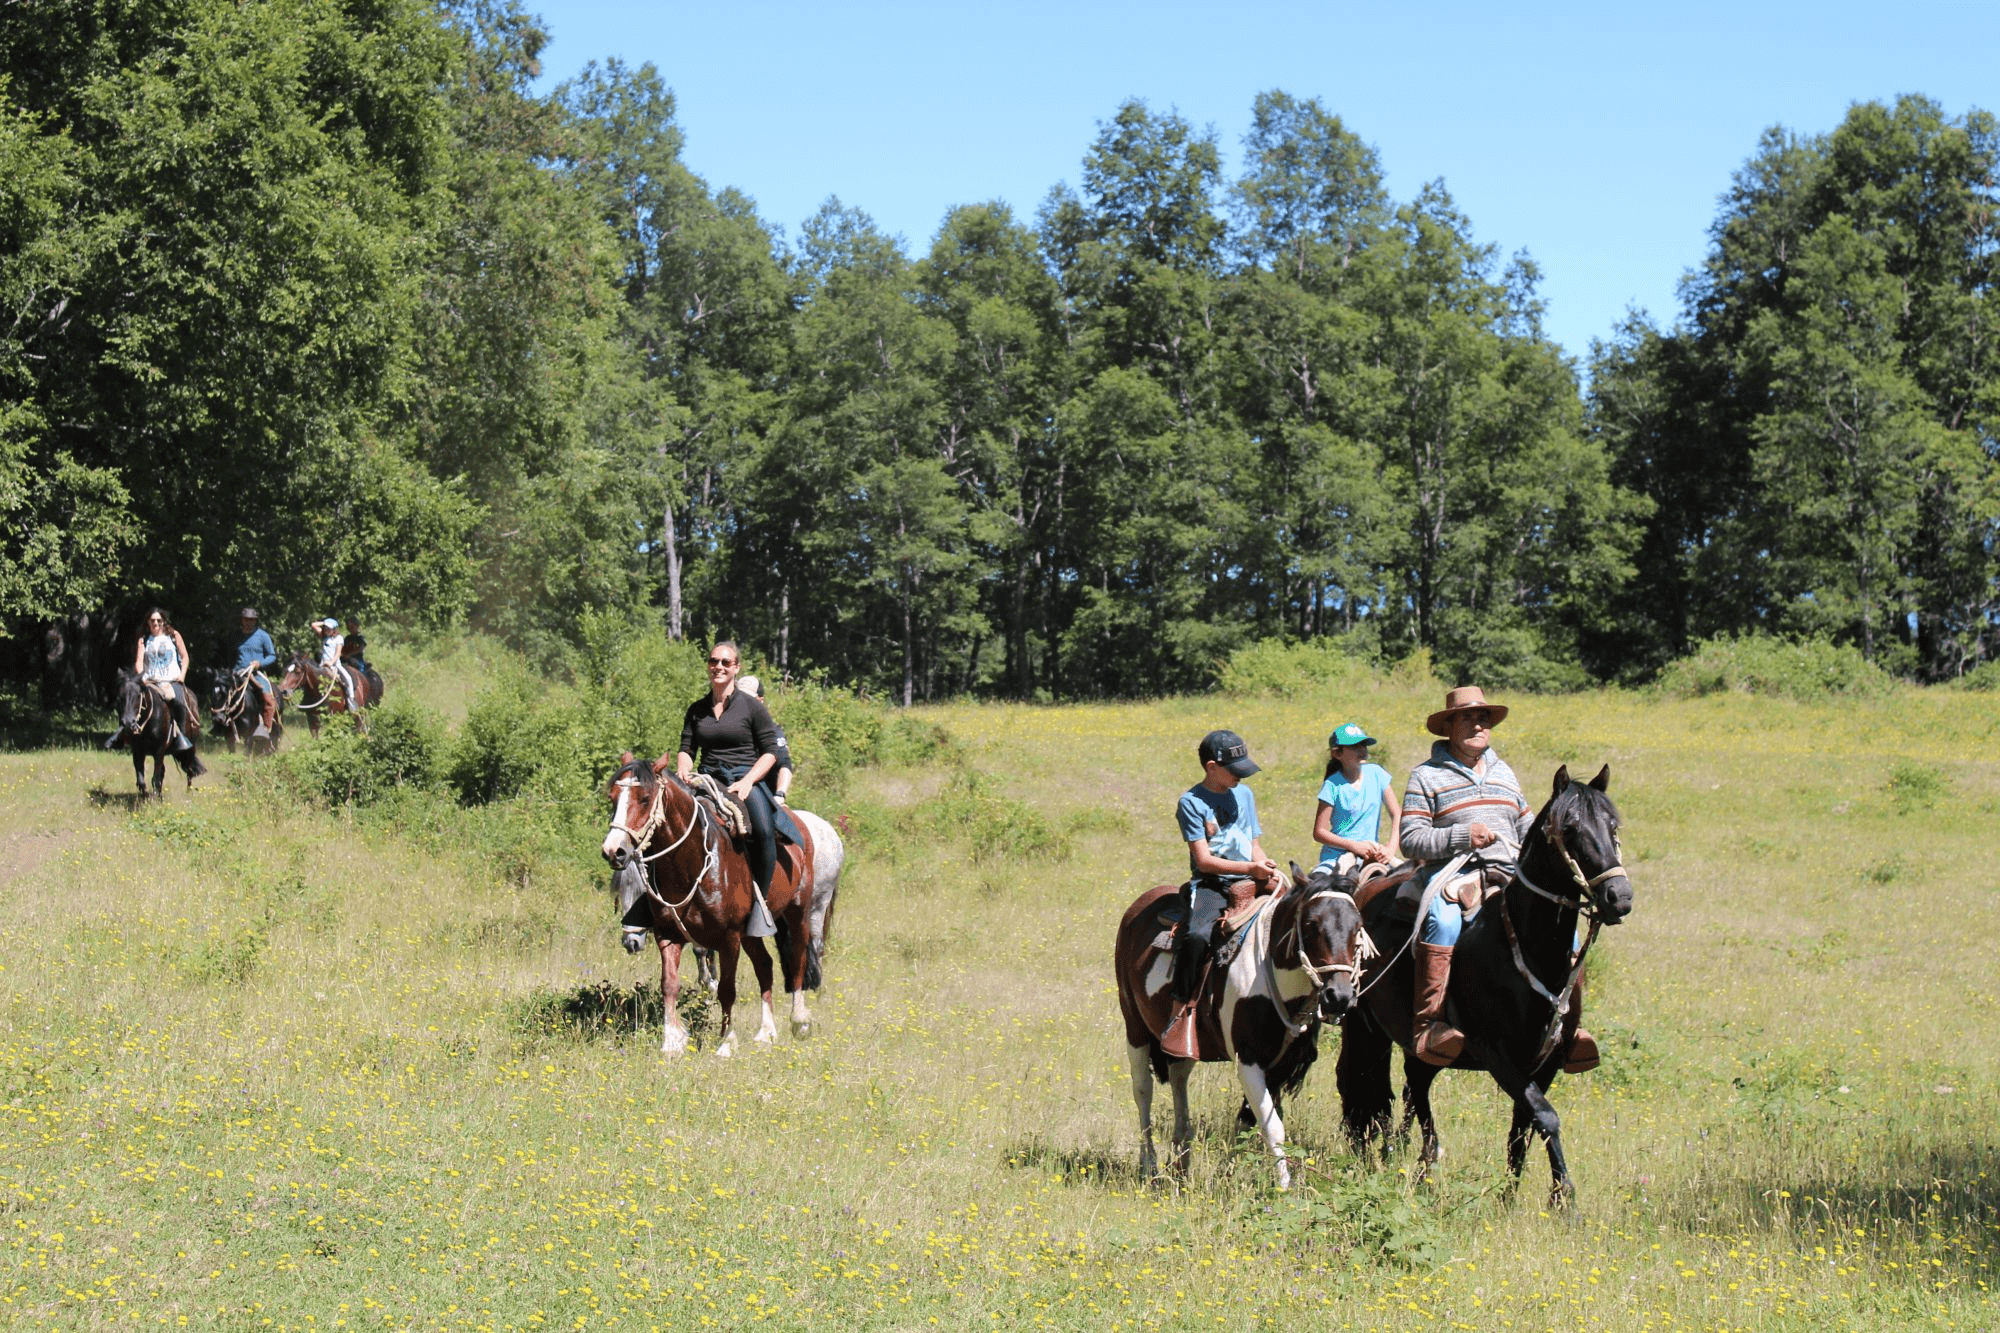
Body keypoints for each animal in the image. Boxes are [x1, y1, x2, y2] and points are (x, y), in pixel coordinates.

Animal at [596, 752, 840, 1056]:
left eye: (644, 798)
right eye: (613, 797)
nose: (614, 850)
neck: (692, 863)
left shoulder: (729, 937)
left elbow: (727, 988)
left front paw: (726, 1042)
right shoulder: (669, 934)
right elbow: (669, 984)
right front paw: (671, 1042)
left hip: (801, 912)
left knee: (798, 960)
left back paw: (799, 1020)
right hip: (752, 932)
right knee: (765, 966)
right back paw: (766, 1032)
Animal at [1112, 856, 1376, 1184]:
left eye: (1358, 926)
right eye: (1311, 924)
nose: (1338, 996)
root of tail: (1139, 905)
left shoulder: (1278, 1067)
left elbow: (1247, 1124)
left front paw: (1230, 1173)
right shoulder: (1247, 1060)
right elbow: (1272, 1128)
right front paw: (1284, 1188)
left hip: (1178, 1043)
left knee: (1178, 1079)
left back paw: (1182, 1162)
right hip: (1134, 1027)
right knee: (1143, 1091)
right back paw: (1149, 1165)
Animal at [1336, 756, 1632, 1200]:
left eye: (1613, 825)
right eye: (1570, 829)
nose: (1620, 897)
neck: (1527, 951)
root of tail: (1364, 888)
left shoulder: (1546, 1061)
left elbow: (1522, 1130)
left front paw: (1511, 1198)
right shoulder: (1496, 1054)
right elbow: (1545, 1117)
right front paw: (1565, 1199)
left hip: (1415, 1043)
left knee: (1414, 1087)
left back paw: (1421, 1166)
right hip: (1363, 1028)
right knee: (1361, 1086)